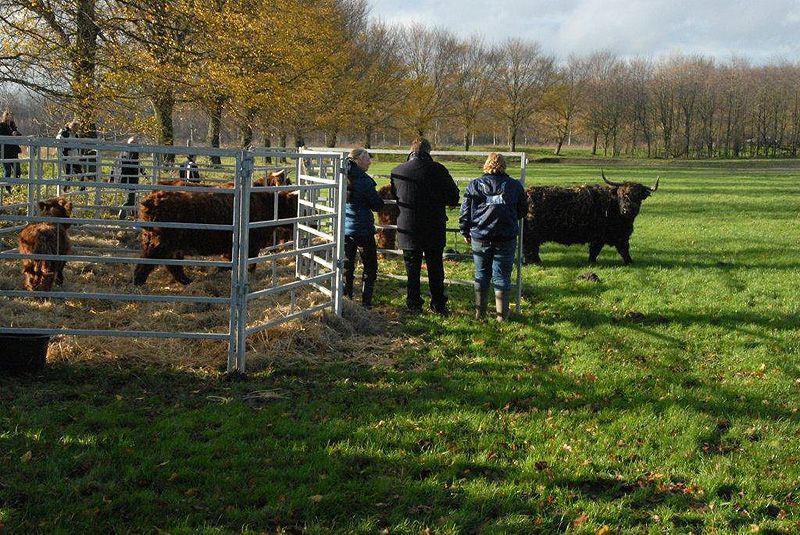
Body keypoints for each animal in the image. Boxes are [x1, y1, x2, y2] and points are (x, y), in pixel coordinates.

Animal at [520, 174, 660, 266]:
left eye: (638, 197)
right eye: (621, 195)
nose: (627, 210)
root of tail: (526, 194)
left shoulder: (619, 235)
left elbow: (623, 249)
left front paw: (629, 262)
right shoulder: (600, 236)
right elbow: (597, 251)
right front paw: (592, 263)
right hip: (532, 234)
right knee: (530, 248)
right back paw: (534, 262)